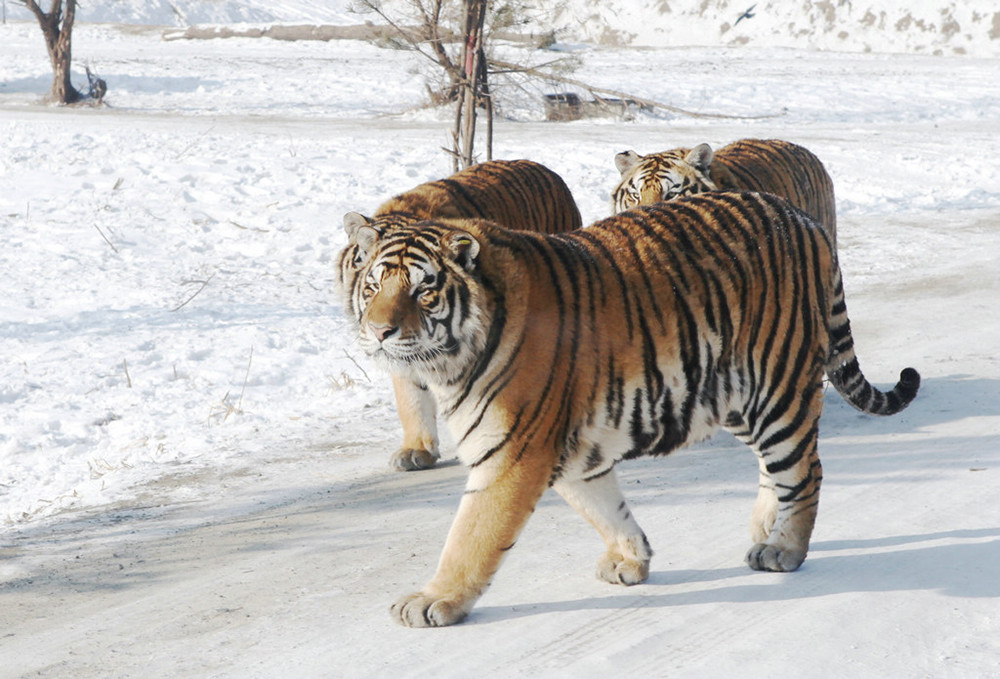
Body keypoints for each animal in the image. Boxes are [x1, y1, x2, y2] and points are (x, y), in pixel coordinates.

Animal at [340, 190, 916, 628]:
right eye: (373, 285)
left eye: (424, 290)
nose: (379, 331)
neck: (451, 363)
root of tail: (801, 218)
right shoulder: (568, 447)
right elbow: (603, 507)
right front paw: (629, 559)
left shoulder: (512, 452)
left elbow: (470, 535)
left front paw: (433, 599)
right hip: (735, 396)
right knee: (771, 467)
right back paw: (763, 528)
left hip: (778, 386)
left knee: (805, 470)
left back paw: (783, 549)